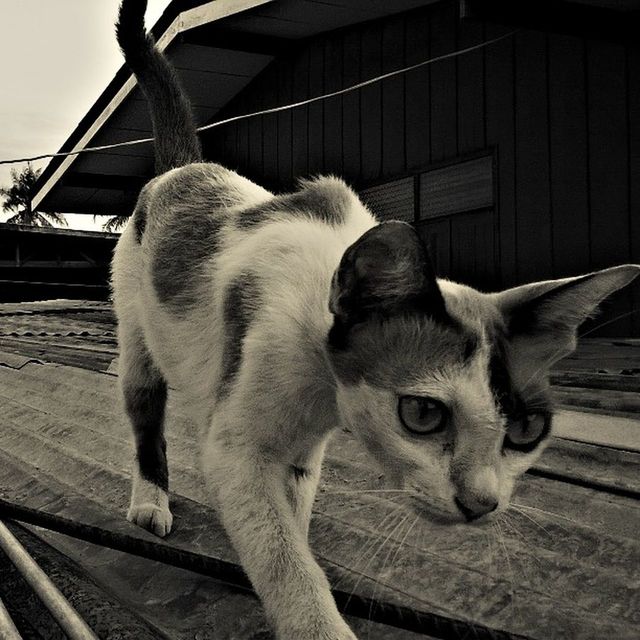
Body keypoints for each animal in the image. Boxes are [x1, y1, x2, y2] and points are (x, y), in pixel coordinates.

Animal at [112, 2, 636, 636]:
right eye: (423, 415)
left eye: (527, 431)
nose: (482, 505)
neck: (322, 378)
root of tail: (184, 168)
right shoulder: (239, 447)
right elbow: (282, 556)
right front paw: (309, 613)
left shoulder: (300, 448)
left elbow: (288, 523)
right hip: (138, 339)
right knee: (146, 418)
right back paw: (150, 500)